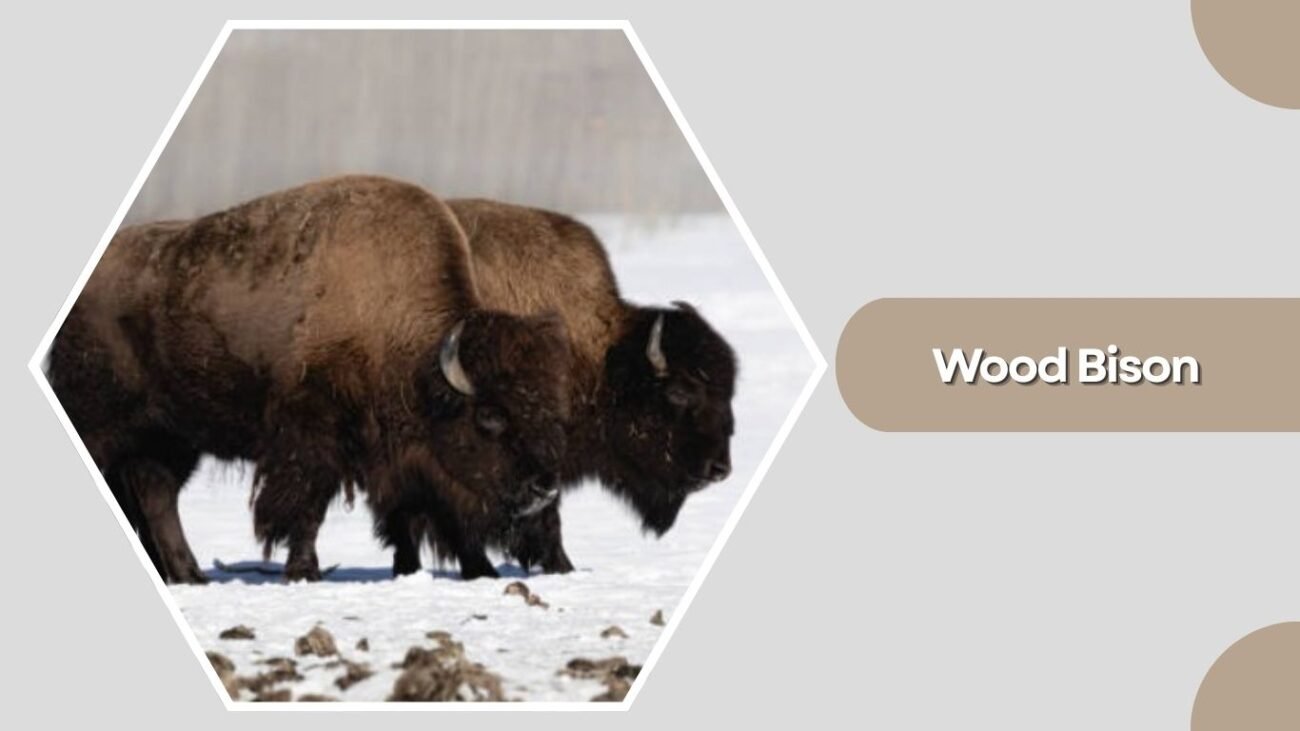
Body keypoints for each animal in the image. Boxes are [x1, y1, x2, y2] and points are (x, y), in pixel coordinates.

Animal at [47, 176, 573, 582]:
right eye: (490, 417)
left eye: (546, 409)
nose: (543, 489)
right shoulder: (311, 436)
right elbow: (306, 505)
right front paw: (304, 571)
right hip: (103, 426)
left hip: (172, 436)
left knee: (158, 495)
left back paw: (191, 576)